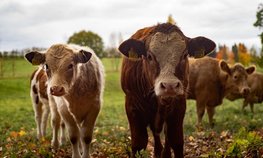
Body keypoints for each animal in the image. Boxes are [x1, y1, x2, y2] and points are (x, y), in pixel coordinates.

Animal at [119, 22, 217, 158]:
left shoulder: (179, 105)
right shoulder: (132, 106)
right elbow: (139, 143)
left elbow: (176, 140)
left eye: (185, 55)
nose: (169, 85)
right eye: (149, 56)